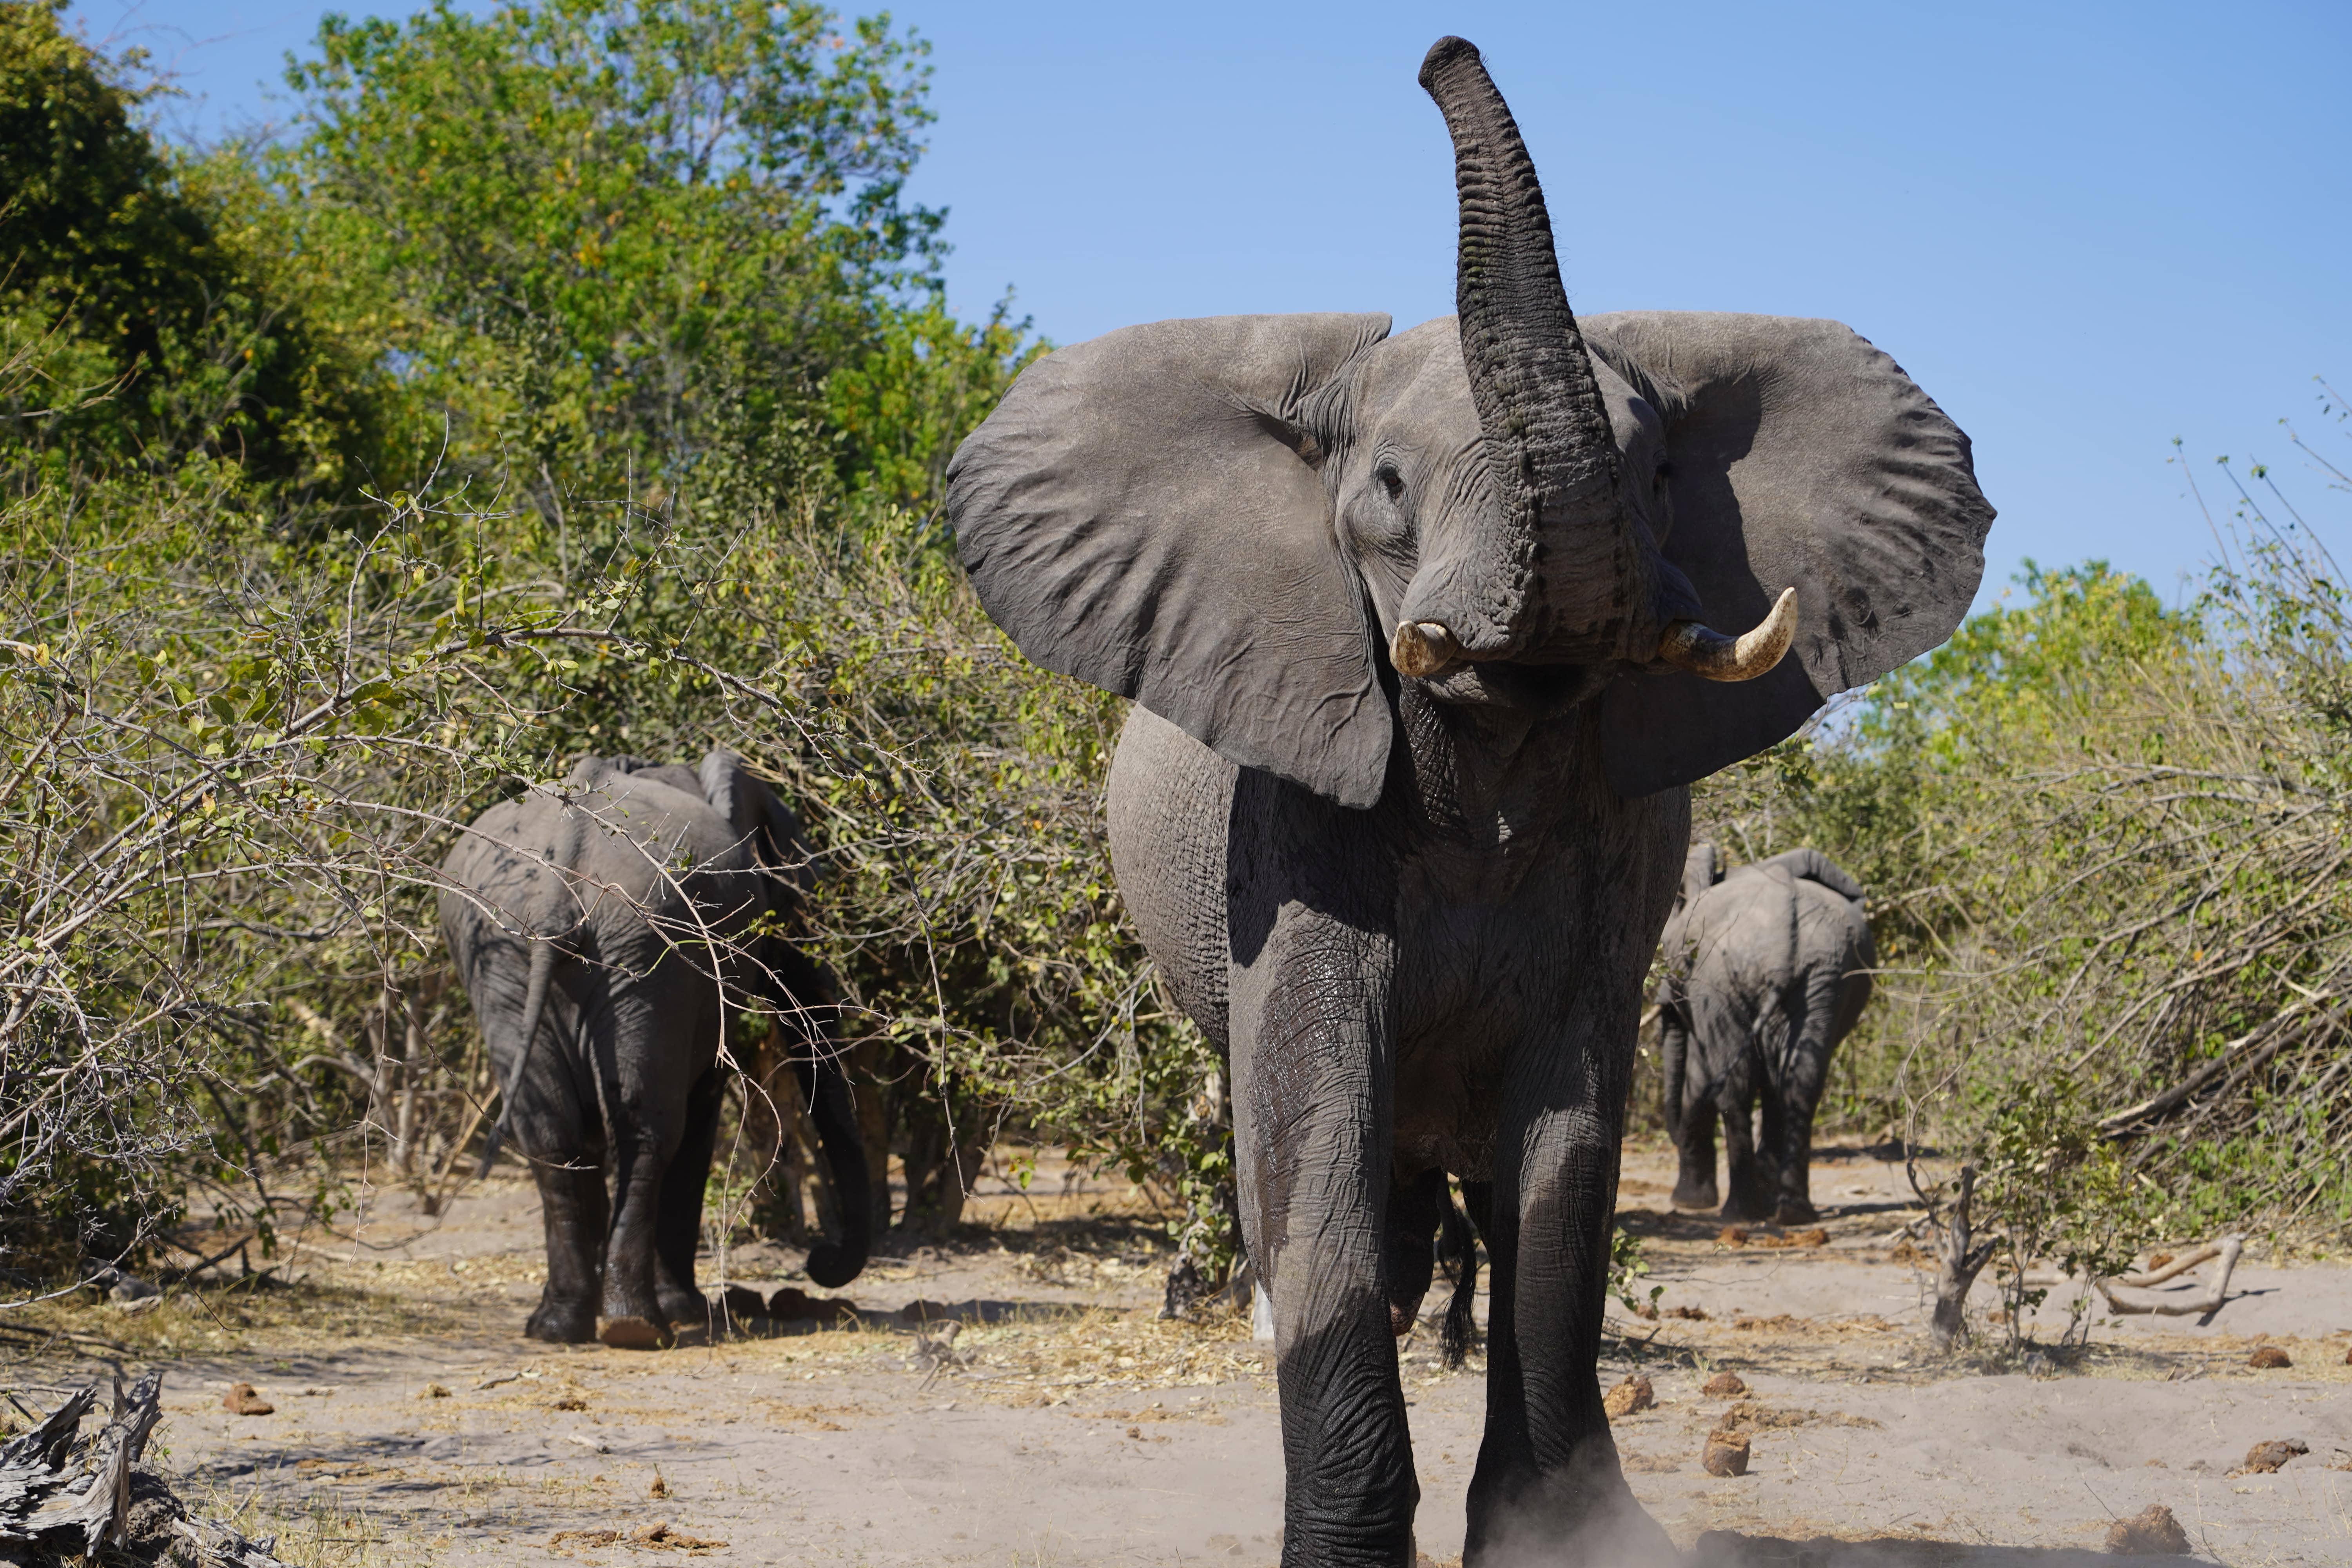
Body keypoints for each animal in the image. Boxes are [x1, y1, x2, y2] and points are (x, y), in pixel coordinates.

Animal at [438, 750, 870, 1348]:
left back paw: (559, 1326)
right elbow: (701, 1106)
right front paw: (688, 1309)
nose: (820, 1261)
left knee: (551, 1130)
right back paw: (640, 1326)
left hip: (515, 952)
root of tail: (563, 869)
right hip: (646, 943)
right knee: (652, 1130)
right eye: (794, 900)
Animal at [1656, 844, 1875, 1225]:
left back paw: (1740, 1214)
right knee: (1801, 1082)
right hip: (1826, 973)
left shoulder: (1702, 991)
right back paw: (1793, 1214)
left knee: (1735, 1088)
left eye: (1672, 963)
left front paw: (1689, 1203)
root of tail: (1781, 939)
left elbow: (1699, 1080)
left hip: (1722, 975)